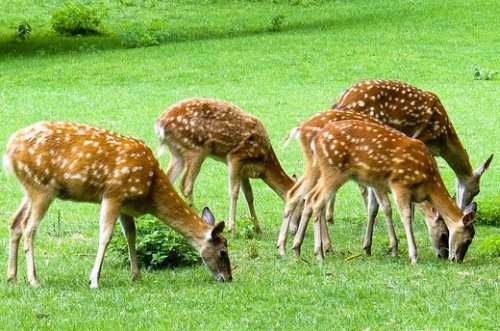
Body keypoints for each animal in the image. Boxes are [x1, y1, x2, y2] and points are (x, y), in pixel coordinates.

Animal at [3, 121, 232, 288]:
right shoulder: (114, 194)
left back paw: (12, 277)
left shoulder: (125, 205)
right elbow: (106, 235)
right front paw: (94, 280)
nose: (228, 278)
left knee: (14, 221)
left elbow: (131, 235)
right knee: (28, 226)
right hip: (41, 188)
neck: (150, 192)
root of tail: (8, 149)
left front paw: (137, 276)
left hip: (31, 189)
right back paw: (34, 280)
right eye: (223, 251)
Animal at [155, 97, 296, 237]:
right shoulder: (236, 157)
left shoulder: (244, 170)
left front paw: (257, 228)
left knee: (168, 179)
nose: (295, 230)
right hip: (194, 149)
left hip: (177, 153)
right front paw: (232, 229)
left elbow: (249, 195)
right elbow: (234, 192)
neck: (264, 161)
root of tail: (159, 124)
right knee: (186, 184)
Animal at [292, 120, 476, 264]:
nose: (453, 258)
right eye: (468, 239)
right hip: (334, 171)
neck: (428, 181)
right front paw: (413, 256)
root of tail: (316, 139)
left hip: (325, 171)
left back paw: (297, 249)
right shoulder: (399, 183)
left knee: (310, 197)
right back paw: (318, 253)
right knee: (316, 200)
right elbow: (405, 216)